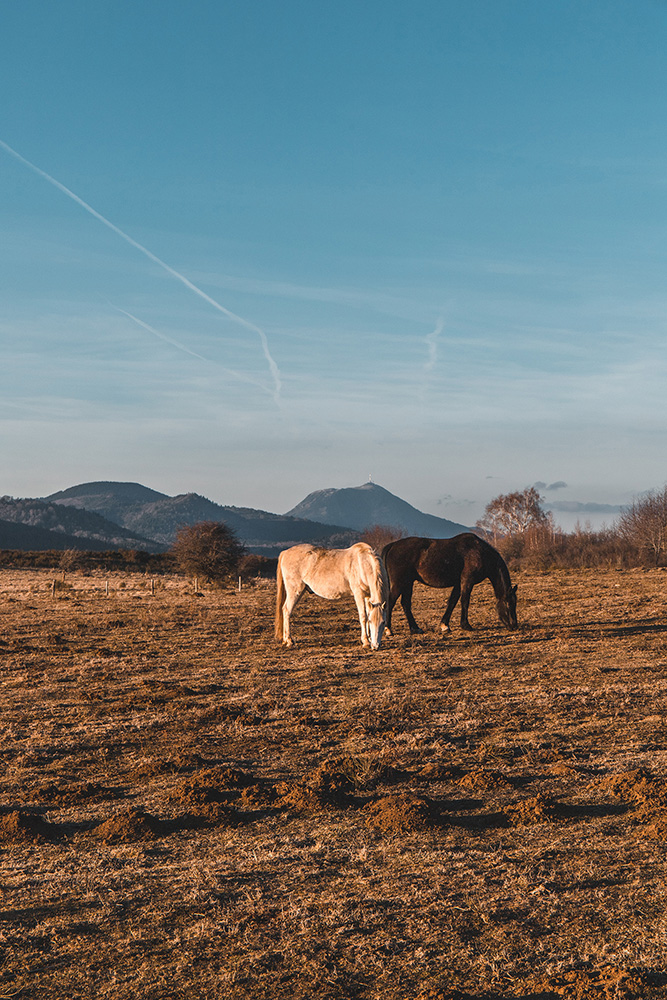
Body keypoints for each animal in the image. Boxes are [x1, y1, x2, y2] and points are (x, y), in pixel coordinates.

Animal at [380, 536, 516, 636]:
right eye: (509, 604)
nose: (514, 625)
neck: (479, 552)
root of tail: (393, 545)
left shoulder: (458, 584)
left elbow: (452, 602)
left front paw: (445, 625)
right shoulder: (467, 581)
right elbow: (464, 601)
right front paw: (466, 625)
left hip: (408, 583)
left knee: (405, 604)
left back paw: (415, 628)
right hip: (399, 584)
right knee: (390, 602)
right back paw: (388, 629)